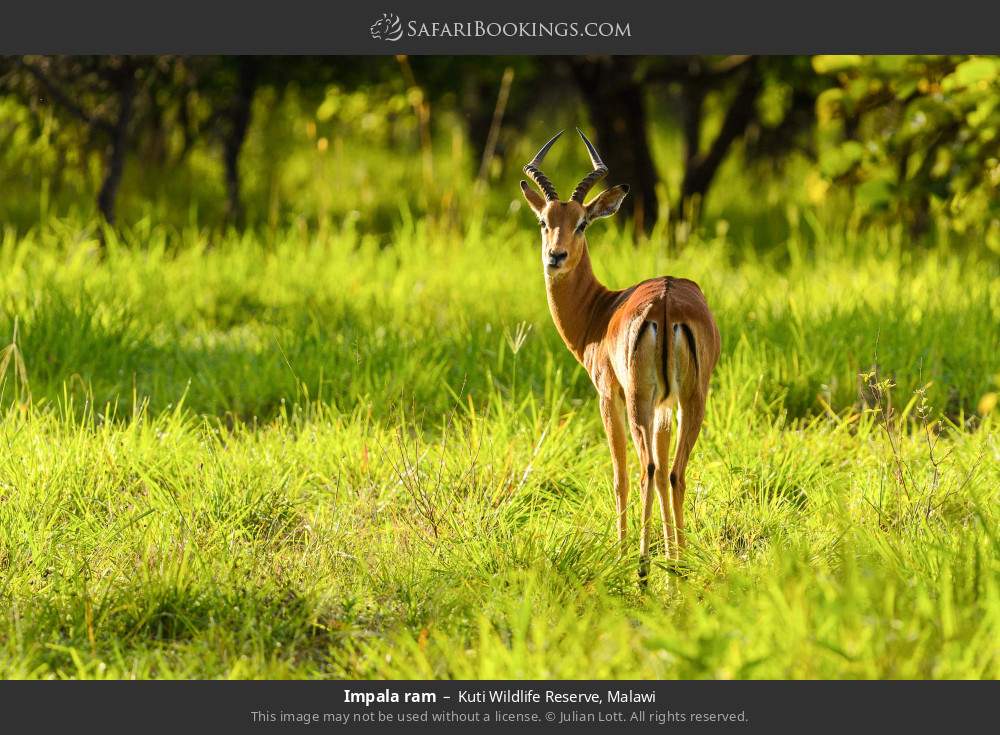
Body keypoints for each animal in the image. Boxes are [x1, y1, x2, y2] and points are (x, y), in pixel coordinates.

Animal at [520, 129, 721, 582]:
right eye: (544, 222)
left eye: (581, 223)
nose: (554, 256)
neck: (600, 312)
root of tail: (666, 302)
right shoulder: (664, 408)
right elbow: (664, 475)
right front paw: (672, 559)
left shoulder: (607, 395)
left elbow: (619, 475)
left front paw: (624, 552)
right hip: (689, 400)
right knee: (673, 472)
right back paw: (678, 567)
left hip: (637, 402)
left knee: (644, 469)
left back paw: (642, 568)